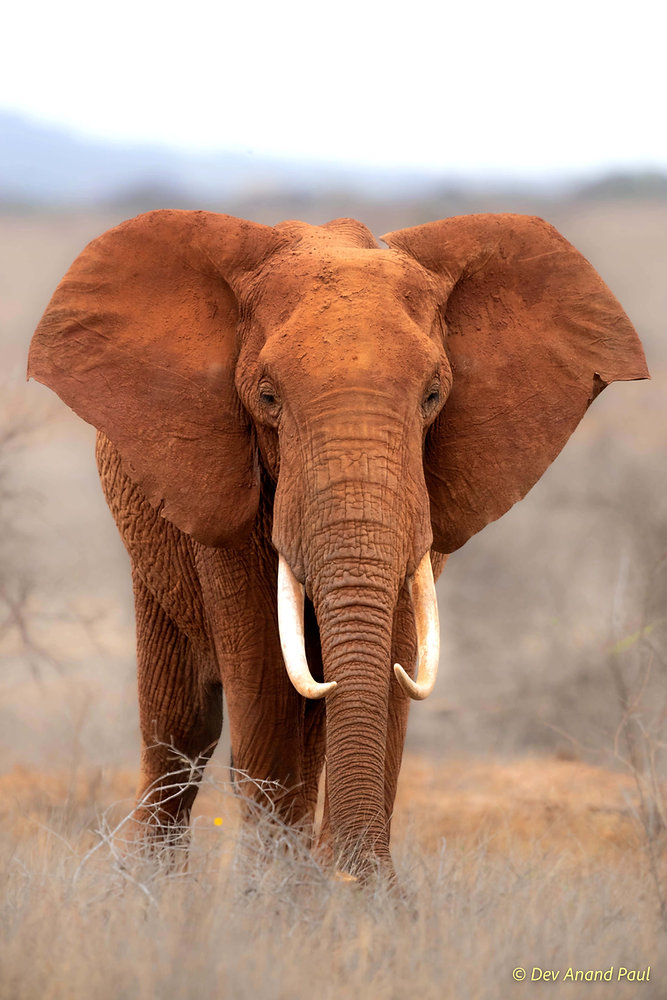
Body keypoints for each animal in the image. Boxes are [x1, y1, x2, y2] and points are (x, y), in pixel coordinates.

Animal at [28, 210, 648, 880]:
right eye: (267, 397)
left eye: (434, 395)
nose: (357, 876)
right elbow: (263, 681)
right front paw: (280, 898)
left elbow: (391, 664)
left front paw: (347, 893)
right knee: (180, 732)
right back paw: (156, 889)